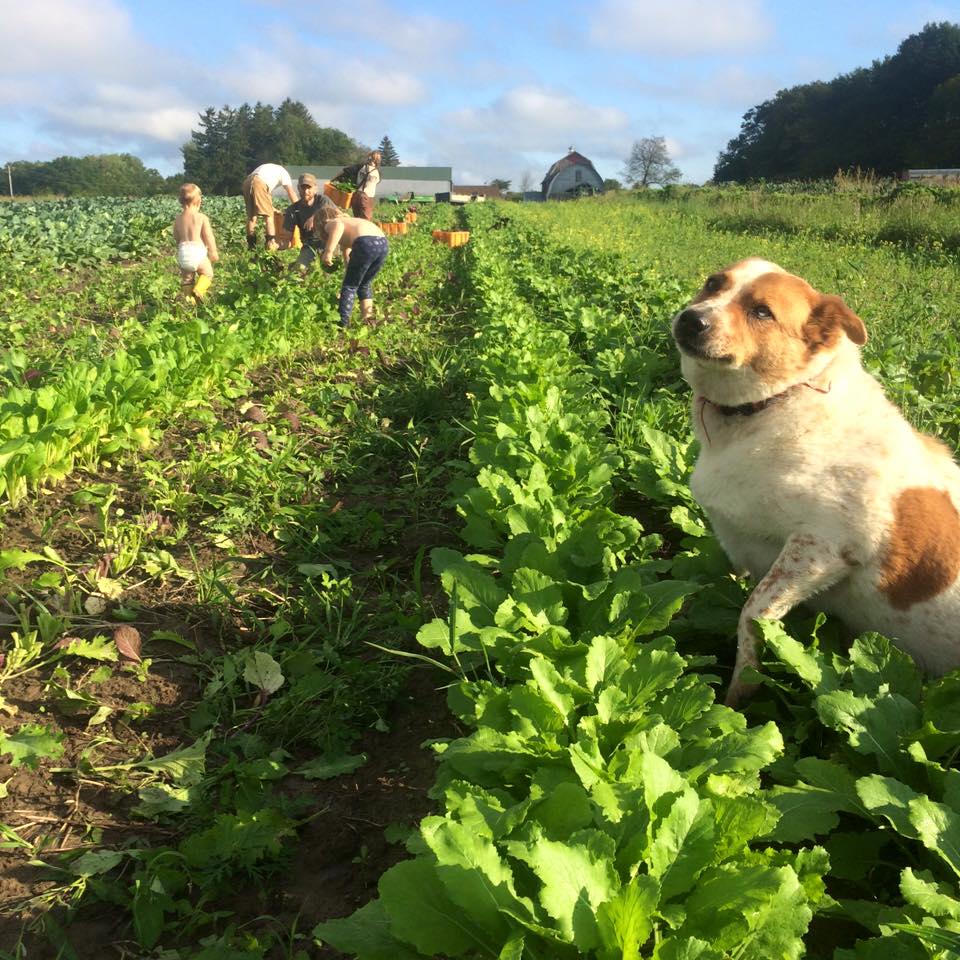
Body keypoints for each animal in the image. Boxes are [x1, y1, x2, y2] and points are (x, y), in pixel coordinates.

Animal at [672, 255, 960, 704]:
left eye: (762, 312)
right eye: (713, 283)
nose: (690, 319)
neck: (773, 404)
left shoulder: (822, 548)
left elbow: (752, 614)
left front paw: (739, 698)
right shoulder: (739, 541)